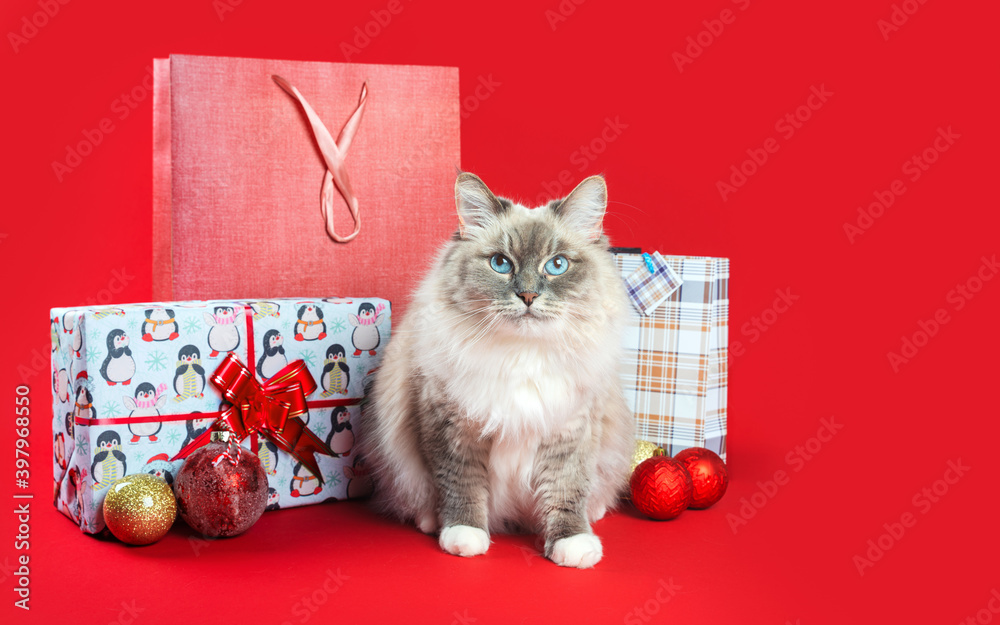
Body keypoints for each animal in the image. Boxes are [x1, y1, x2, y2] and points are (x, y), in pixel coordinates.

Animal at [362, 171, 632, 564]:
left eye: (557, 265)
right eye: (501, 264)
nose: (528, 296)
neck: (522, 354)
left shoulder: (570, 430)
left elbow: (566, 491)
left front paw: (573, 545)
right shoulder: (453, 427)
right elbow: (462, 487)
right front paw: (464, 538)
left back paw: (594, 514)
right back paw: (431, 522)